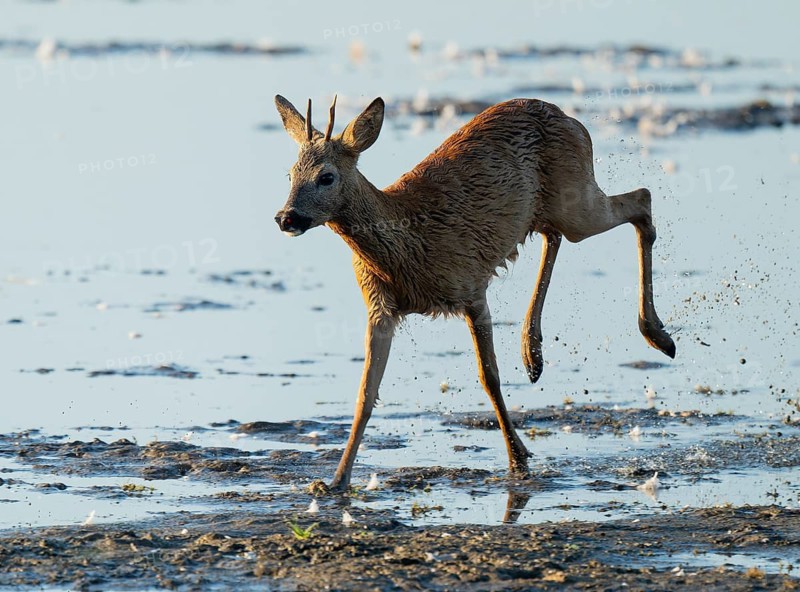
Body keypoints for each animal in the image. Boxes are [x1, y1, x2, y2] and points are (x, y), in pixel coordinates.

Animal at [273, 94, 675, 491]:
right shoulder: (380, 307)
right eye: (290, 174)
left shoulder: (470, 286)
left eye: (326, 176)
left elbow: (489, 376)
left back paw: (658, 335)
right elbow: (365, 394)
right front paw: (334, 482)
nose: (285, 217)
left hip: (577, 199)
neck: (406, 243)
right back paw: (533, 353)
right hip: (550, 208)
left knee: (640, 199)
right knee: (558, 233)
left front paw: (517, 458)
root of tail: (571, 119)